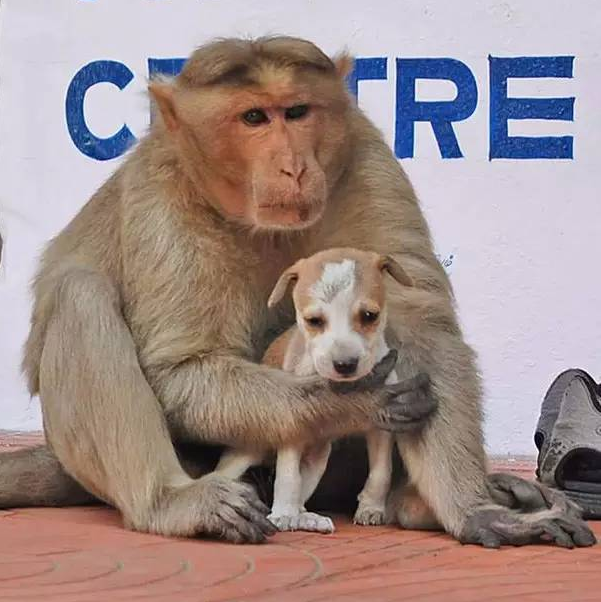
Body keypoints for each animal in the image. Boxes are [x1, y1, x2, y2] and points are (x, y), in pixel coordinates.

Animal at [217, 246, 412, 532]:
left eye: (369, 316)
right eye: (313, 320)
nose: (345, 364)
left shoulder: (381, 429)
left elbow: (381, 472)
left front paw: (371, 508)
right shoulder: (291, 431)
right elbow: (287, 477)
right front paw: (282, 514)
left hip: (318, 458)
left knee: (303, 493)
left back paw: (308, 518)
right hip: (245, 453)